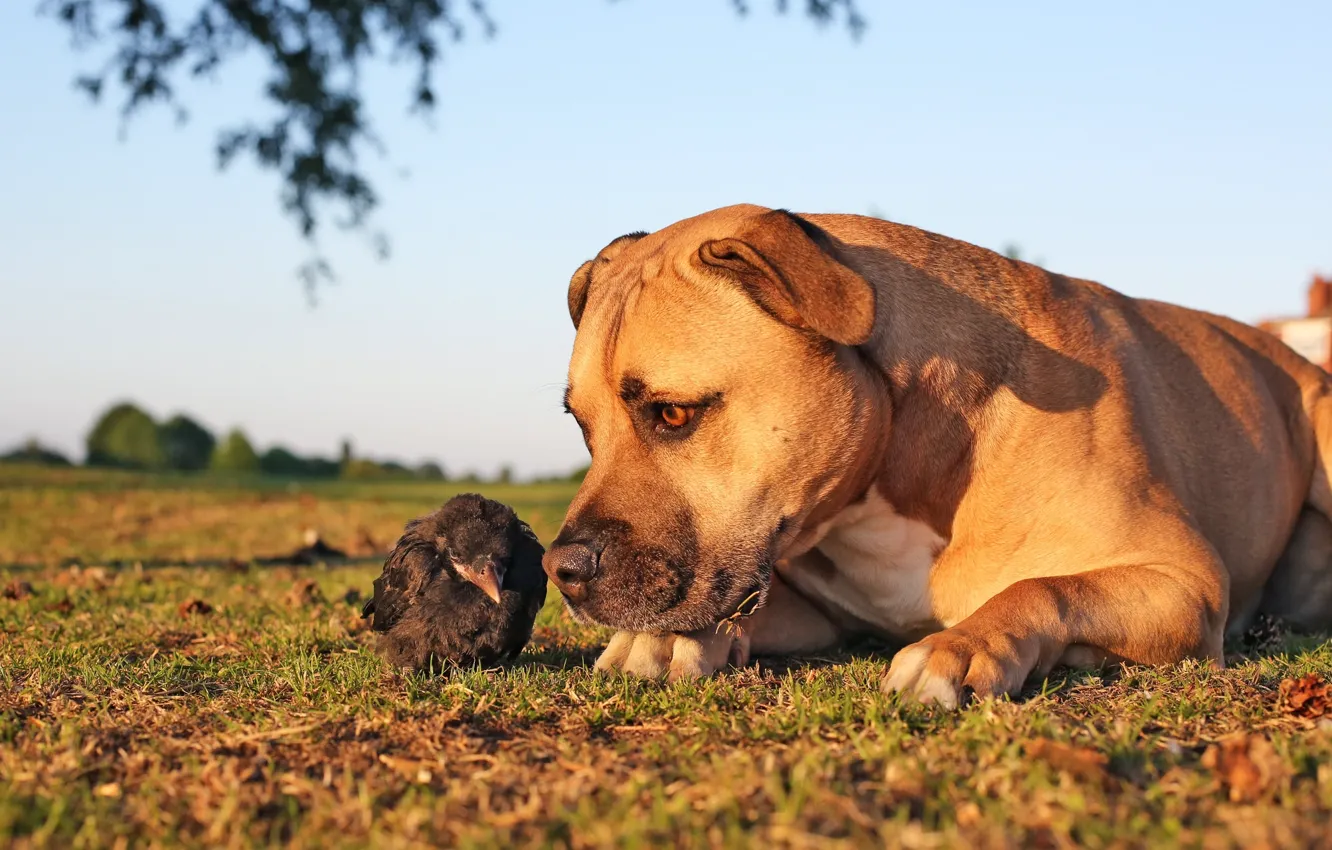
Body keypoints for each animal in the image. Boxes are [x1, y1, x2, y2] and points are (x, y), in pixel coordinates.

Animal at [540, 205, 1332, 703]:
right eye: (582, 425)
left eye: (673, 413)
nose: (561, 569)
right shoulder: (822, 613)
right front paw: (676, 642)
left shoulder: (1183, 579)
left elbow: (1044, 587)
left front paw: (959, 648)